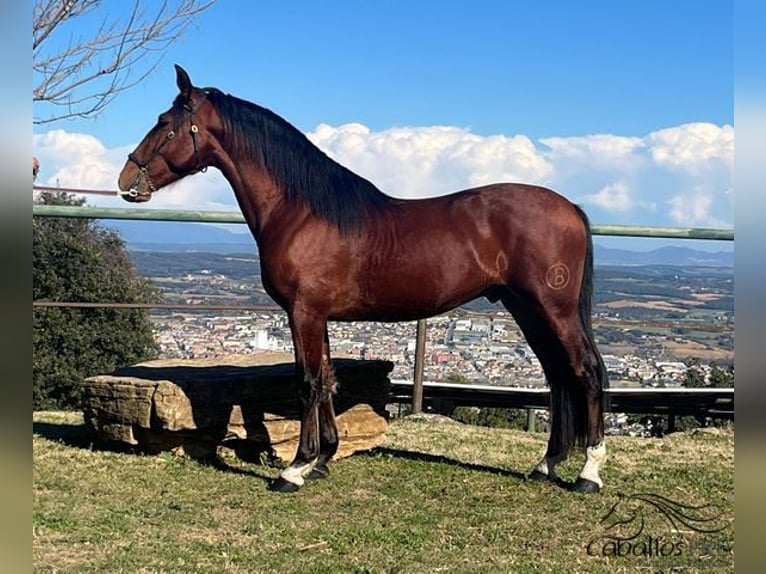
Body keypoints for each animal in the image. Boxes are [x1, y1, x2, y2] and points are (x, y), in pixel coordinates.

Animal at [118, 66, 612, 496]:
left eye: (165, 124)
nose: (126, 179)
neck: (301, 211)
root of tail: (570, 207)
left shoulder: (303, 312)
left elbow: (307, 382)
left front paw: (294, 469)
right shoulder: (316, 315)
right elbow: (327, 378)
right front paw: (321, 460)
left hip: (553, 309)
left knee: (586, 373)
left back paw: (588, 473)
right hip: (525, 308)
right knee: (557, 377)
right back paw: (546, 464)